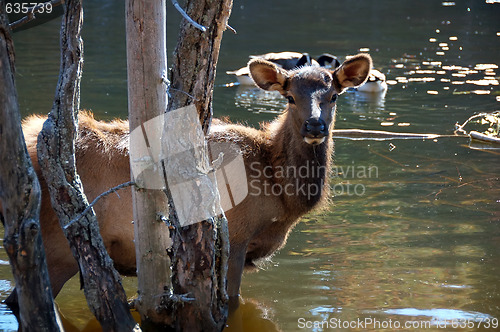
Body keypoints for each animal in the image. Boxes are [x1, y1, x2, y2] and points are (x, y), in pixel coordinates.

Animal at [0, 52, 372, 304]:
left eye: (333, 96)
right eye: (290, 97)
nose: (315, 126)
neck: (280, 196)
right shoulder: (235, 238)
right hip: (56, 244)